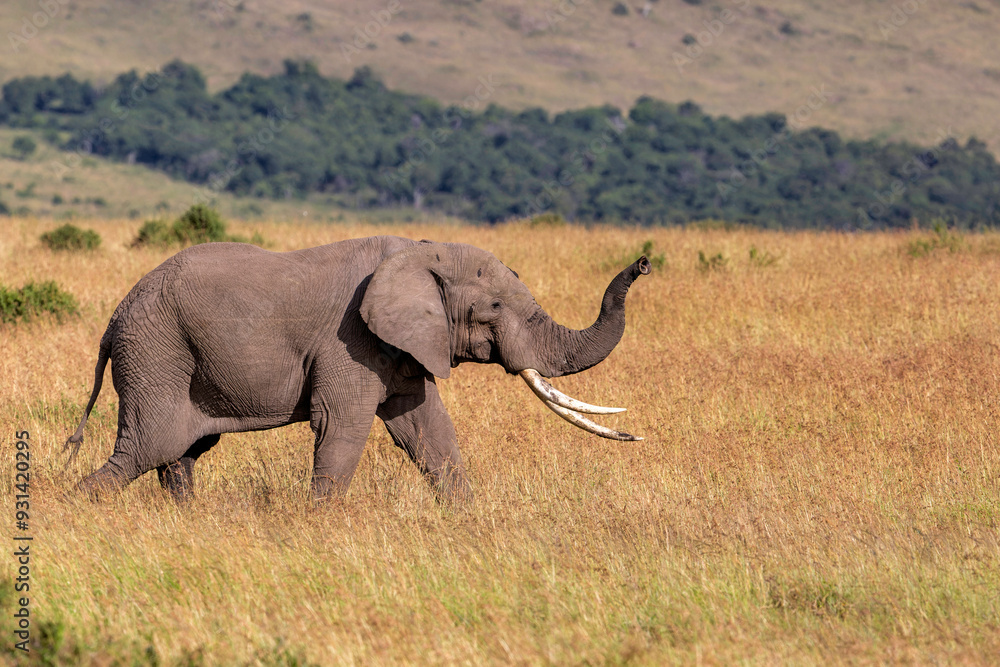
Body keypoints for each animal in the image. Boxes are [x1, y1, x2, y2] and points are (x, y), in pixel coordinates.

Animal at [65, 236, 650, 503]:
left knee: (181, 454)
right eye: (493, 308)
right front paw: (316, 524)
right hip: (156, 351)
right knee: (149, 448)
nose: (643, 262)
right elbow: (342, 428)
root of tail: (113, 319)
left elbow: (428, 430)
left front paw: (467, 518)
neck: (421, 253)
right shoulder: (351, 343)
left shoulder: (404, 347)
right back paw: (70, 509)